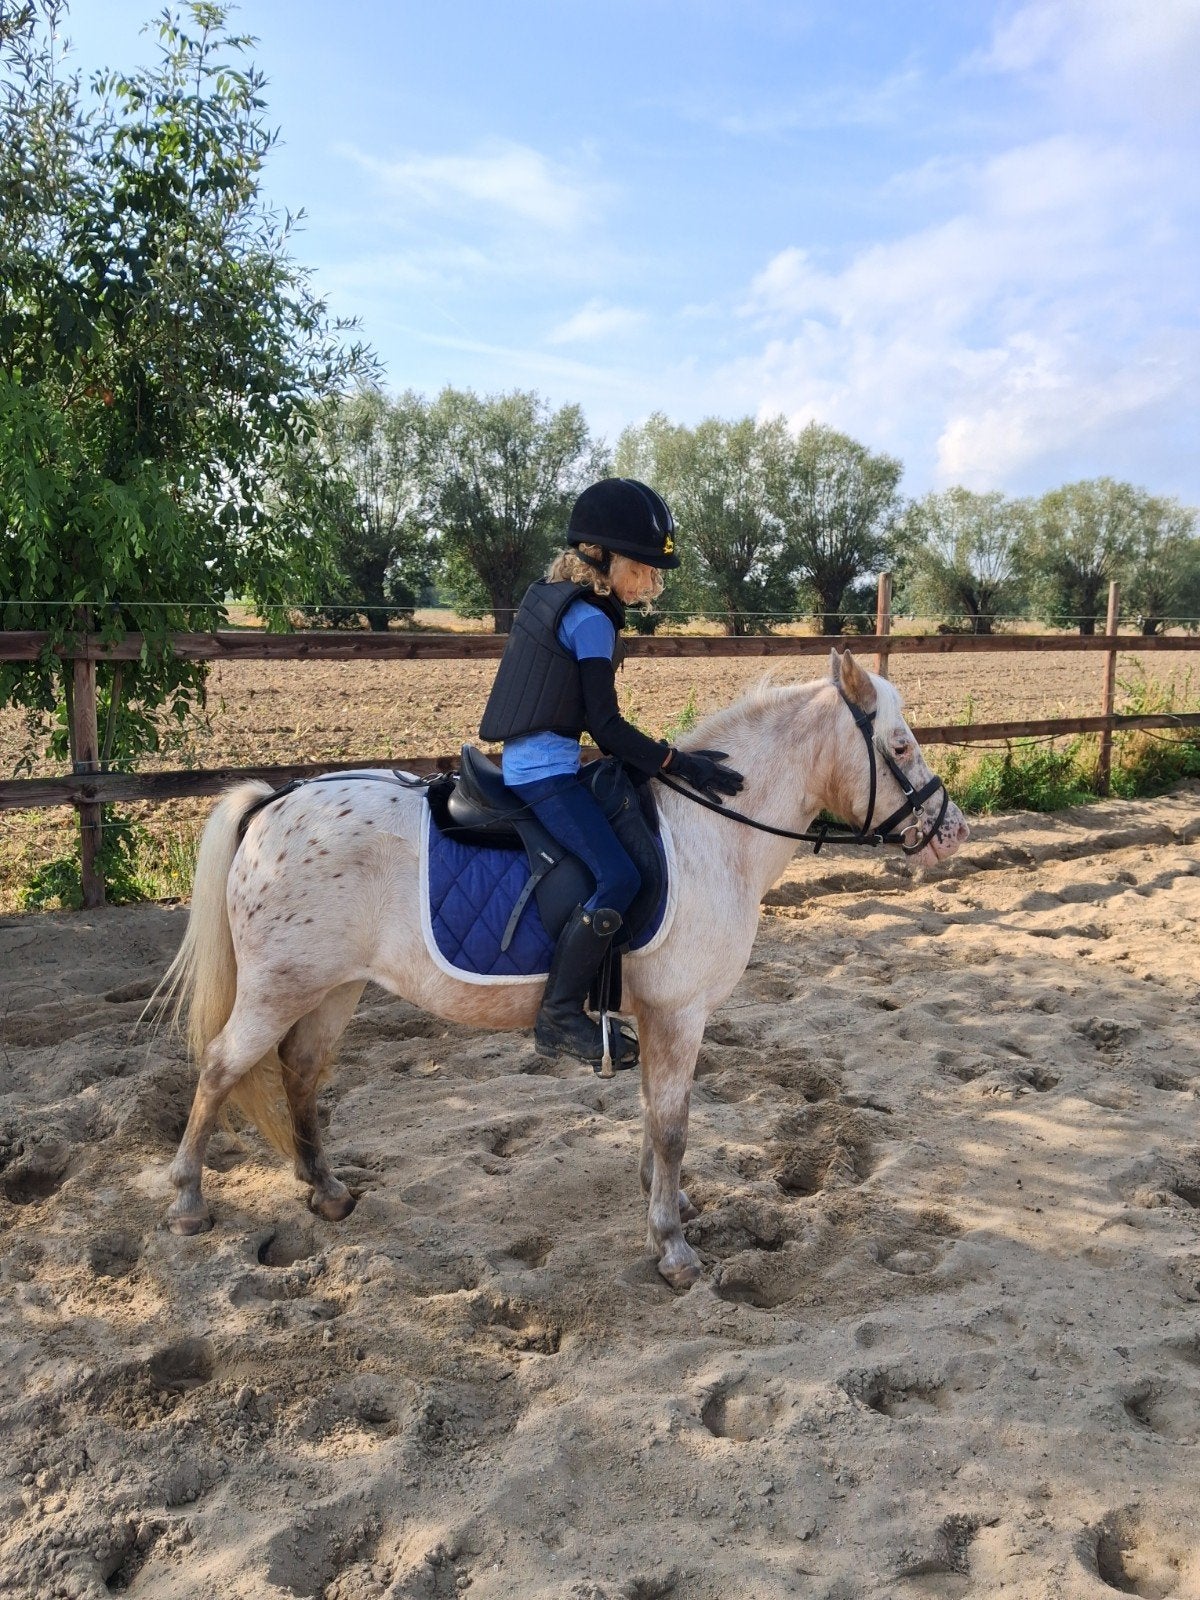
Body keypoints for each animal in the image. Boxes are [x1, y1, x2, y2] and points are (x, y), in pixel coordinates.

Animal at [155, 648, 969, 1288]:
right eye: (900, 747)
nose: (952, 831)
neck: (708, 833)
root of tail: (275, 801)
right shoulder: (680, 1014)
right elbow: (672, 1126)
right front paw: (672, 1245)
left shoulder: (656, 1019)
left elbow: (654, 1118)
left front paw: (667, 1204)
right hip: (279, 987)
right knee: (221, 1067)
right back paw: (189, 1200)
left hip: (334, 988)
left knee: (300, 1072)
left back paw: (324, 1189)